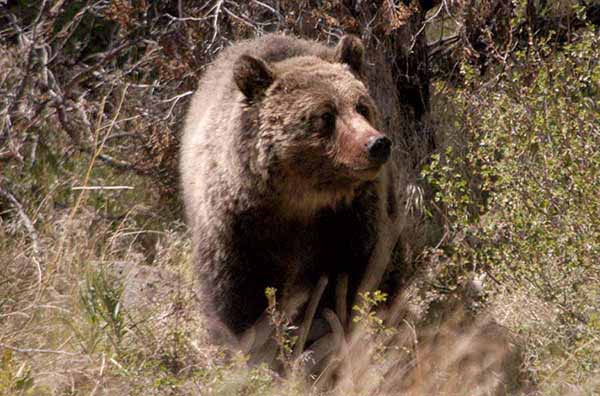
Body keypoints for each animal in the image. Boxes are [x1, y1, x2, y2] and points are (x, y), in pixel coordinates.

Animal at [180, 34, 400, 344]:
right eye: (325, 115)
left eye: (361, 106)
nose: (376, 144)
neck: (300, 198)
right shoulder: (237, 229)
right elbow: (237, 297)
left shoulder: (349, 219)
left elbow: (354, 276)